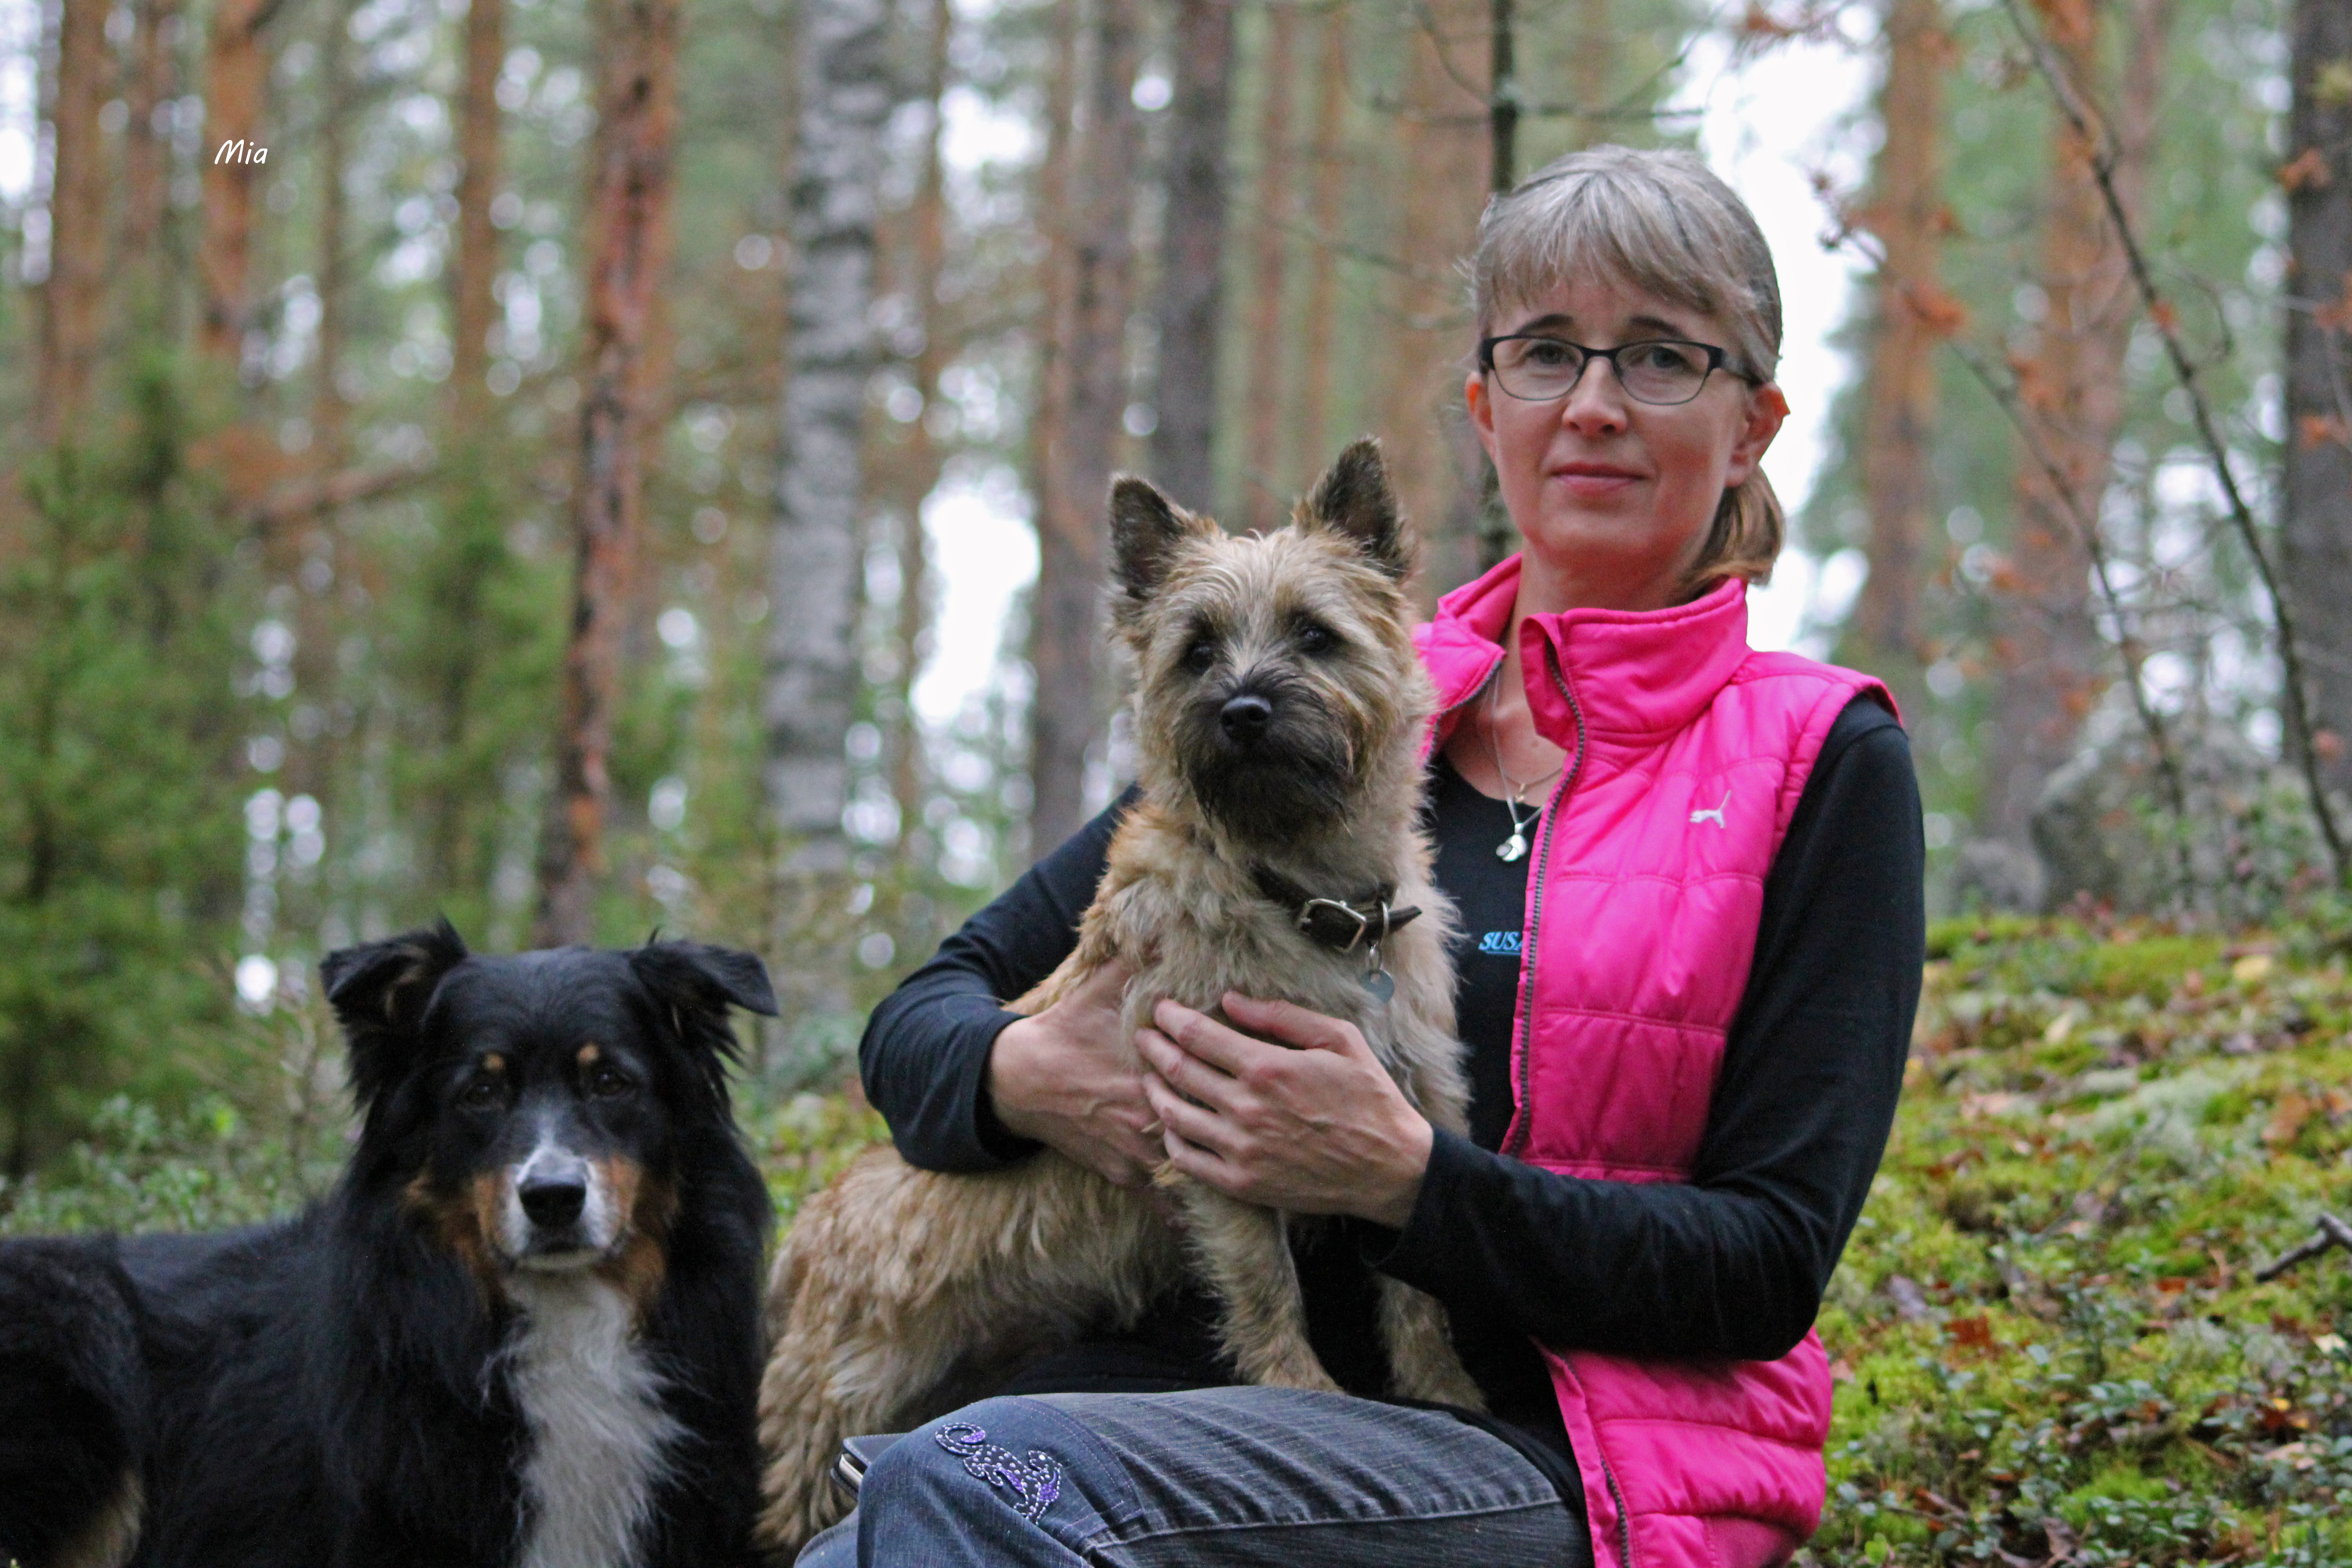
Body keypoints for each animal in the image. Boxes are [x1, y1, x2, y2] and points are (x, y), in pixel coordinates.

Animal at [755, 439, 1482, 1551]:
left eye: (1314, 636)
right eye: (1196, 649)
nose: (1243, 710)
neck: (1300, 891)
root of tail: (804, 1231)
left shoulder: (1411, 1111)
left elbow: (1416, 1286)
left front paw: (1450, 1395)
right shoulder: (1221, 1142)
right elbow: (1269, 1289)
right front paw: (1304, 1390)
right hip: (835, 1415)